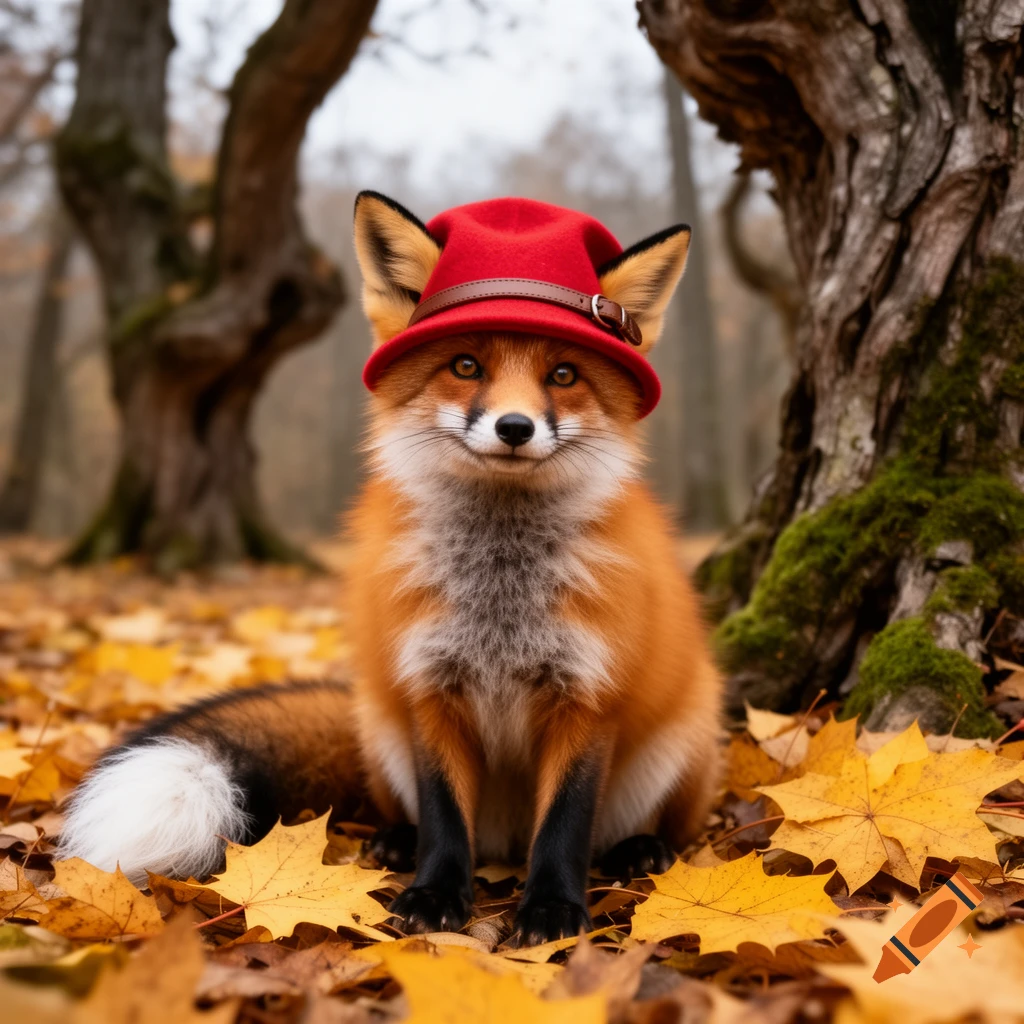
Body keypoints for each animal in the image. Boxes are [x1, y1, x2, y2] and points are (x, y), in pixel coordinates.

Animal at [59, 193, 724, 946]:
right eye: (465, 367)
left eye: (563, 376)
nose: (515, 427)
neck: (500, 595)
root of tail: (503, 841)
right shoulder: (428, 687)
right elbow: (443, 818)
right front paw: (434, 894)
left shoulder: (587, 696)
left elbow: (564, 824)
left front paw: (554, 909)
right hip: (384, 735)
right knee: (426, 818)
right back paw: (397, 842)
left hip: (685, 739)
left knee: (651, 830)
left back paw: (642, 848)